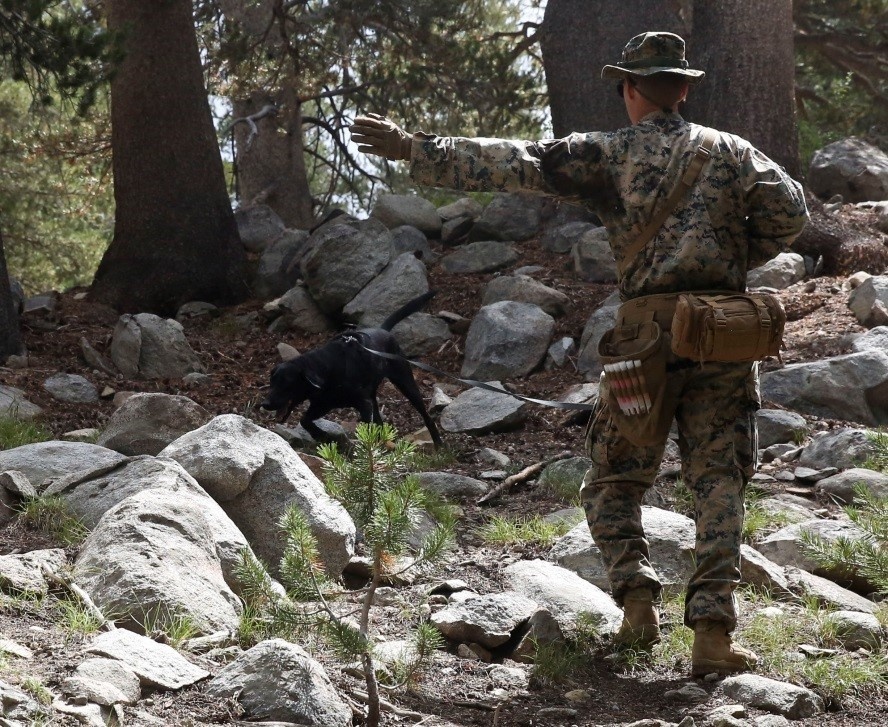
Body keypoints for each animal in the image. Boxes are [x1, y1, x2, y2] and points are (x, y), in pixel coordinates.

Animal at [262, 292, 444, 446]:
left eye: (286, 383)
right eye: (272, 383)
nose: (265, 404)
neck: (325, 369)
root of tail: (384, 330)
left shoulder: (362, 404)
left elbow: (367, 431)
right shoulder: (323, 404)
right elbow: (304, 420)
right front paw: (322, 435)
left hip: (405, 382)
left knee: (426, 416)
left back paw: (438, 444)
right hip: (373, 395)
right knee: (379, 422)